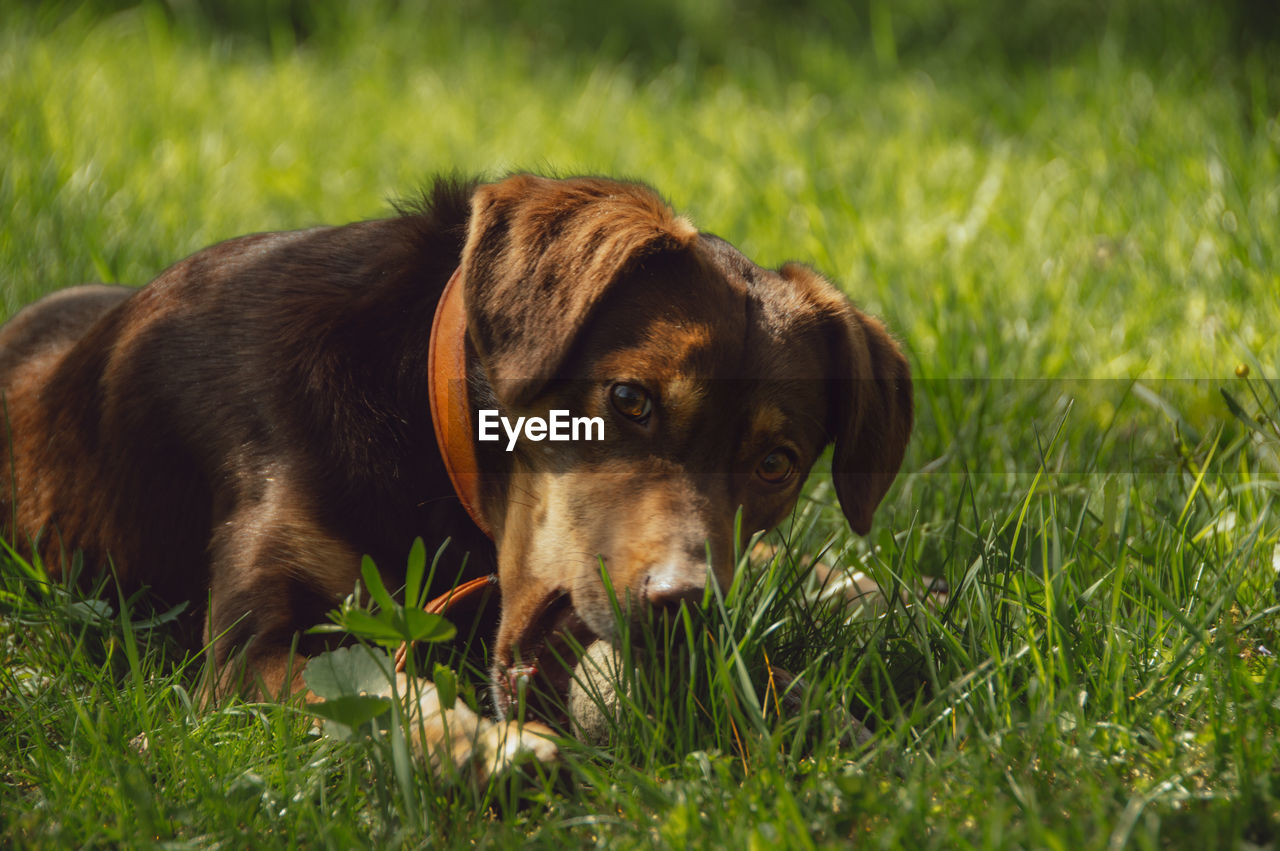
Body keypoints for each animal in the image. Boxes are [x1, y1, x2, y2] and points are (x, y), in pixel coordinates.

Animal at [5, 175, 916, 778]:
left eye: (775, 463)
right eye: (630, 399)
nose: (686, 605)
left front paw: (837, 723)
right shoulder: (245, 654)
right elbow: (374, 687)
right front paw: (489, 746)